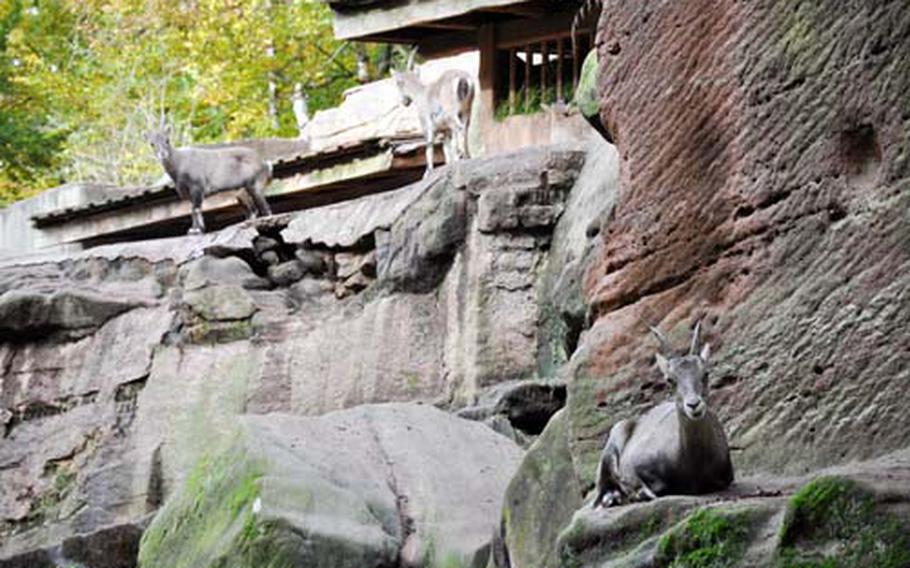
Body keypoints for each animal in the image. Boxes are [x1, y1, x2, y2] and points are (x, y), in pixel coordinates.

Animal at [392, 52, 478, 180]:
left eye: (398, 83)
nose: (404, 102)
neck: (420, 94)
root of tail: (464, 79)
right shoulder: (445, 130)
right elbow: (446, 148)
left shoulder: (427, 126)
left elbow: (429, 147)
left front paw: (427, 172)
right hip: (467, 111)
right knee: (465, 129)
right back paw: (467, 156)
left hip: (452, 113)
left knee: (459, 128)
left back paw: (460, 156)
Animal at [592, 320, 732, 510]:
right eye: (670, 380)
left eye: (705, 373)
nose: (693, 405)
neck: (692, 463)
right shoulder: (634, 464)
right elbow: (631, 480)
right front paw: (638, 492)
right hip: (613, 441)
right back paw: (612, 497)